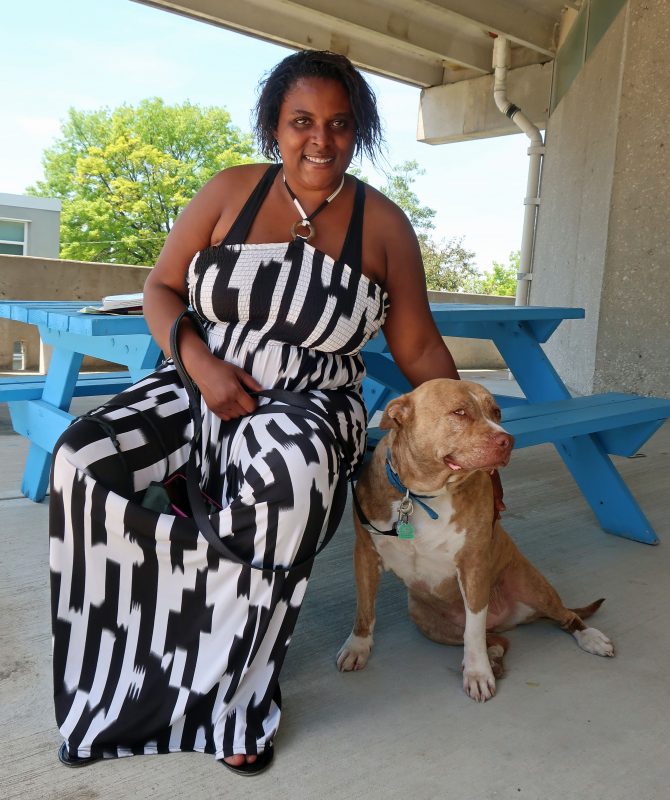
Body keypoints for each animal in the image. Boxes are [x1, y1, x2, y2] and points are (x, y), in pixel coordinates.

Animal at [338, 380, 616, 700]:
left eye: (497, 412)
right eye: (459, 412)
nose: (508, 440)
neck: (423, 495)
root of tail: (509, 619)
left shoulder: (473, 566)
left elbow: (473, 631)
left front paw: (477, 673)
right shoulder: (365, 554)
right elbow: (364, 608)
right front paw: (358, 646)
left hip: (533, 587)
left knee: (564, 616)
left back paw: (590, 638)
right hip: (427, 621)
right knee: (496, 640)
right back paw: (494, 656)